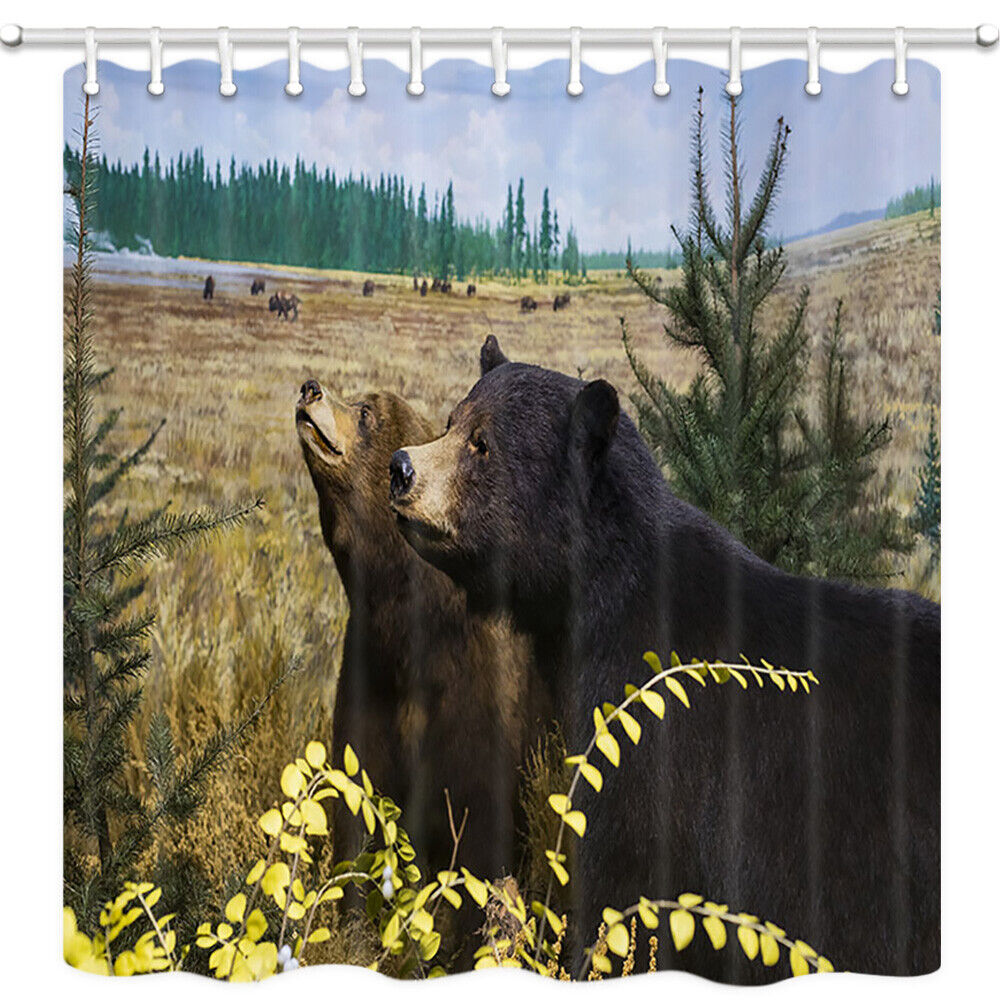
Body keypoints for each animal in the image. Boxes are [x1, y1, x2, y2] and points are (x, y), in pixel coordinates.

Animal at [296, 376, 546, 965]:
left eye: (366, 412)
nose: (310, 388)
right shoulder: (370, 682)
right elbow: (356, 815)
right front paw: (354, 932)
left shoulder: (480, 703)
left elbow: (480, 848)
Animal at [387, 336, 940, 983]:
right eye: (451, 420)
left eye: (482, 442)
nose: (400, 468)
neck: (599, 601)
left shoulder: (654, 739)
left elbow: (624, 872)